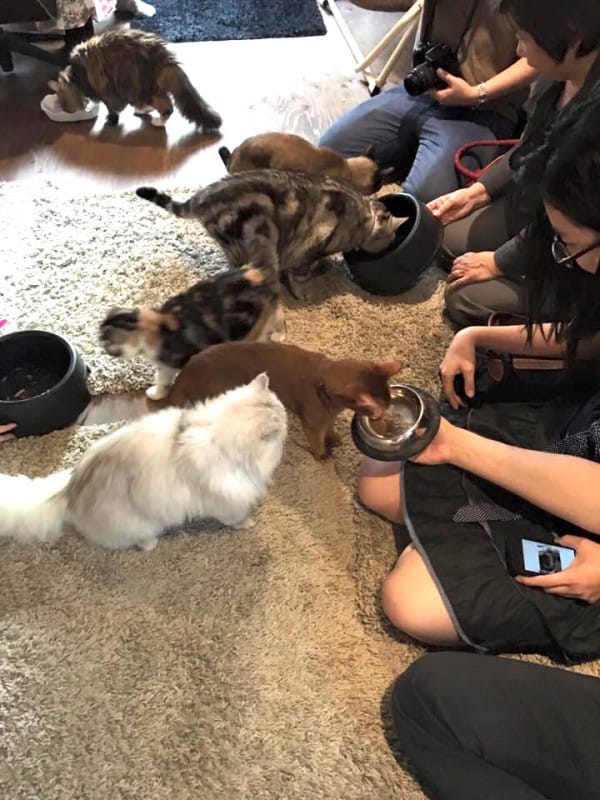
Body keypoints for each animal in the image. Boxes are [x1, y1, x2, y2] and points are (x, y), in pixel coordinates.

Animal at [0, 374, 288, 552]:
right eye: (283, 423)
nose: (288, 424)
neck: (218, 437)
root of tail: (68, 493)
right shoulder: (225, 502)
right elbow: (235, 517)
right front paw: (248, 523)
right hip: (141, 524)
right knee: (139, 540)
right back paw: (150, 544)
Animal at [48, 28, 223, 129]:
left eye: (62, 102)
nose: (67, 110)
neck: (75, 76)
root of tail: (163, 55)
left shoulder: (106, 93)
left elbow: (112, 110)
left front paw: (110, 120)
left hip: (138, 86)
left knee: (167, 107)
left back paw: (157, 121)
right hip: (147, 87)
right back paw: (144, 111)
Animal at [136, 170, 404, 296]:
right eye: (391, 238)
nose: (391, 244)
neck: (363, 215)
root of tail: (202, 197)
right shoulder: (309, 251)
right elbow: (300, 278)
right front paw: (304, 292)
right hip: (250, 239)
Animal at [152, 340, 400, 460]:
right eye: (379, 411)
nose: (385, 416)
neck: (322, 378)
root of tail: (185, 372)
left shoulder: (327, 417)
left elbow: (329, 430)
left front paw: (335, 439)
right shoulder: (312, 424)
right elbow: (317, 441)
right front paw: (322, 455)